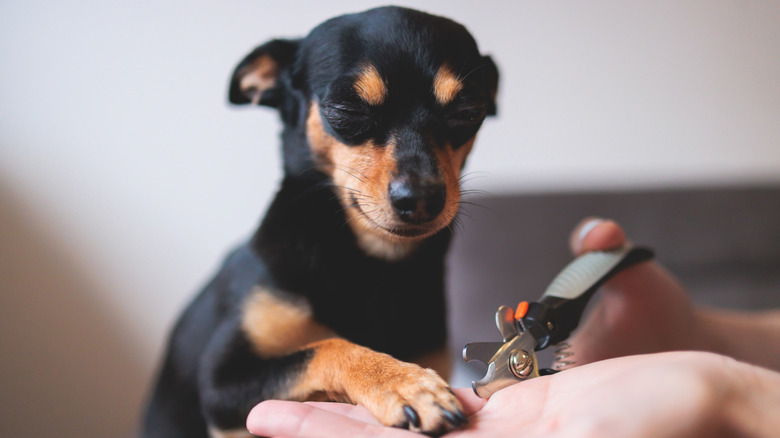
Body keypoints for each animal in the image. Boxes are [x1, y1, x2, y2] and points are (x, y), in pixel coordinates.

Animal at [142, 5, 496, 436]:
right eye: (347, 110)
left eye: (468, 112)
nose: (422, 198)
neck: (375, 264)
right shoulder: (220, 383)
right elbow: (326, 346)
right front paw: (403, 382)